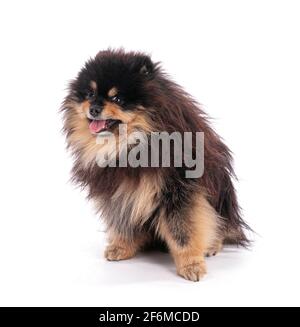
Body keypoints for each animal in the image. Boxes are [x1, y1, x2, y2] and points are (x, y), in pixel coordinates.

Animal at [62, 48, 250, 282]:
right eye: (89, 94)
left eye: (118, 98)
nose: (94, 108)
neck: (130, 144)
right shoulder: (118, 191)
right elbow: (122, 221)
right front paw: (122, 247)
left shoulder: (178, 191)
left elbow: (183, 232)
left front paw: (191, 264)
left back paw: (212, 245)